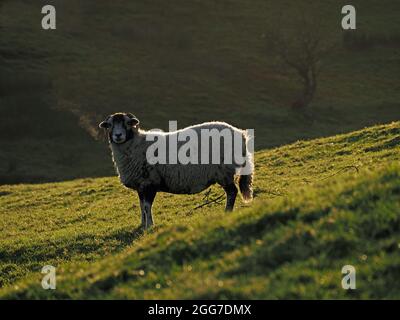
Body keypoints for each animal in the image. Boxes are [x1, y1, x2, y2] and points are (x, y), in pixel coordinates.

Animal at [99, 112, 253, 230]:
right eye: (110, 125)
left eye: (127, 123)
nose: (118, 135)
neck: (135, 145)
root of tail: (241, 134)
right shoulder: (140, 185)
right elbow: (141, 206)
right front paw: (142, 225)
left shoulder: (149, 183)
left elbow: (147, 207)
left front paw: (149, 226)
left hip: (224, 171)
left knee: (232, 192)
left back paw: (227, 212)